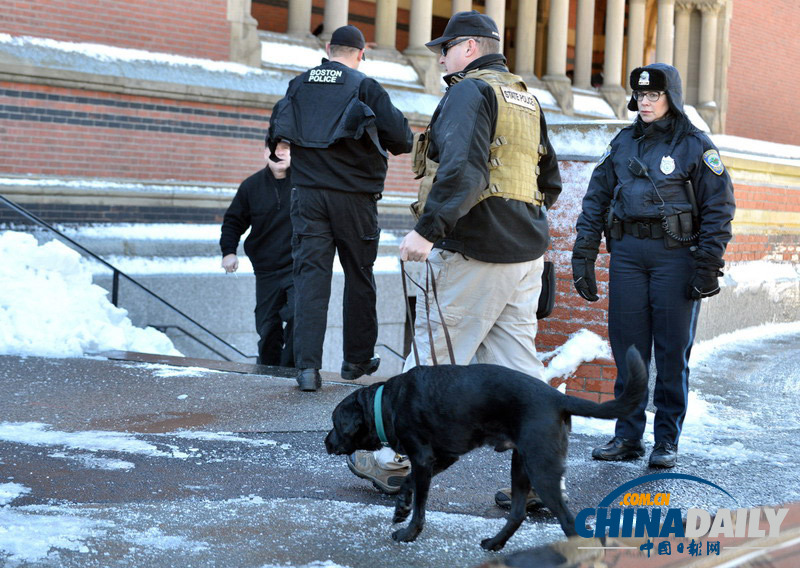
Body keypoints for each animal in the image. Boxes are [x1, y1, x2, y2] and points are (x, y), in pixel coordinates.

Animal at [322, 346, 648, 552]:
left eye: (335, 423)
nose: (326, 442)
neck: (387, 403)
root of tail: (557, 398)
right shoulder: (442, 457)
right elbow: (408, 481)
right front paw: (401, 507)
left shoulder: (424, 457)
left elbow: (420, 505)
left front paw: (409, 533)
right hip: (521, 465)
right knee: (517, 513)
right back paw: (494, 544)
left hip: (541, 469)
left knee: (568, 522)